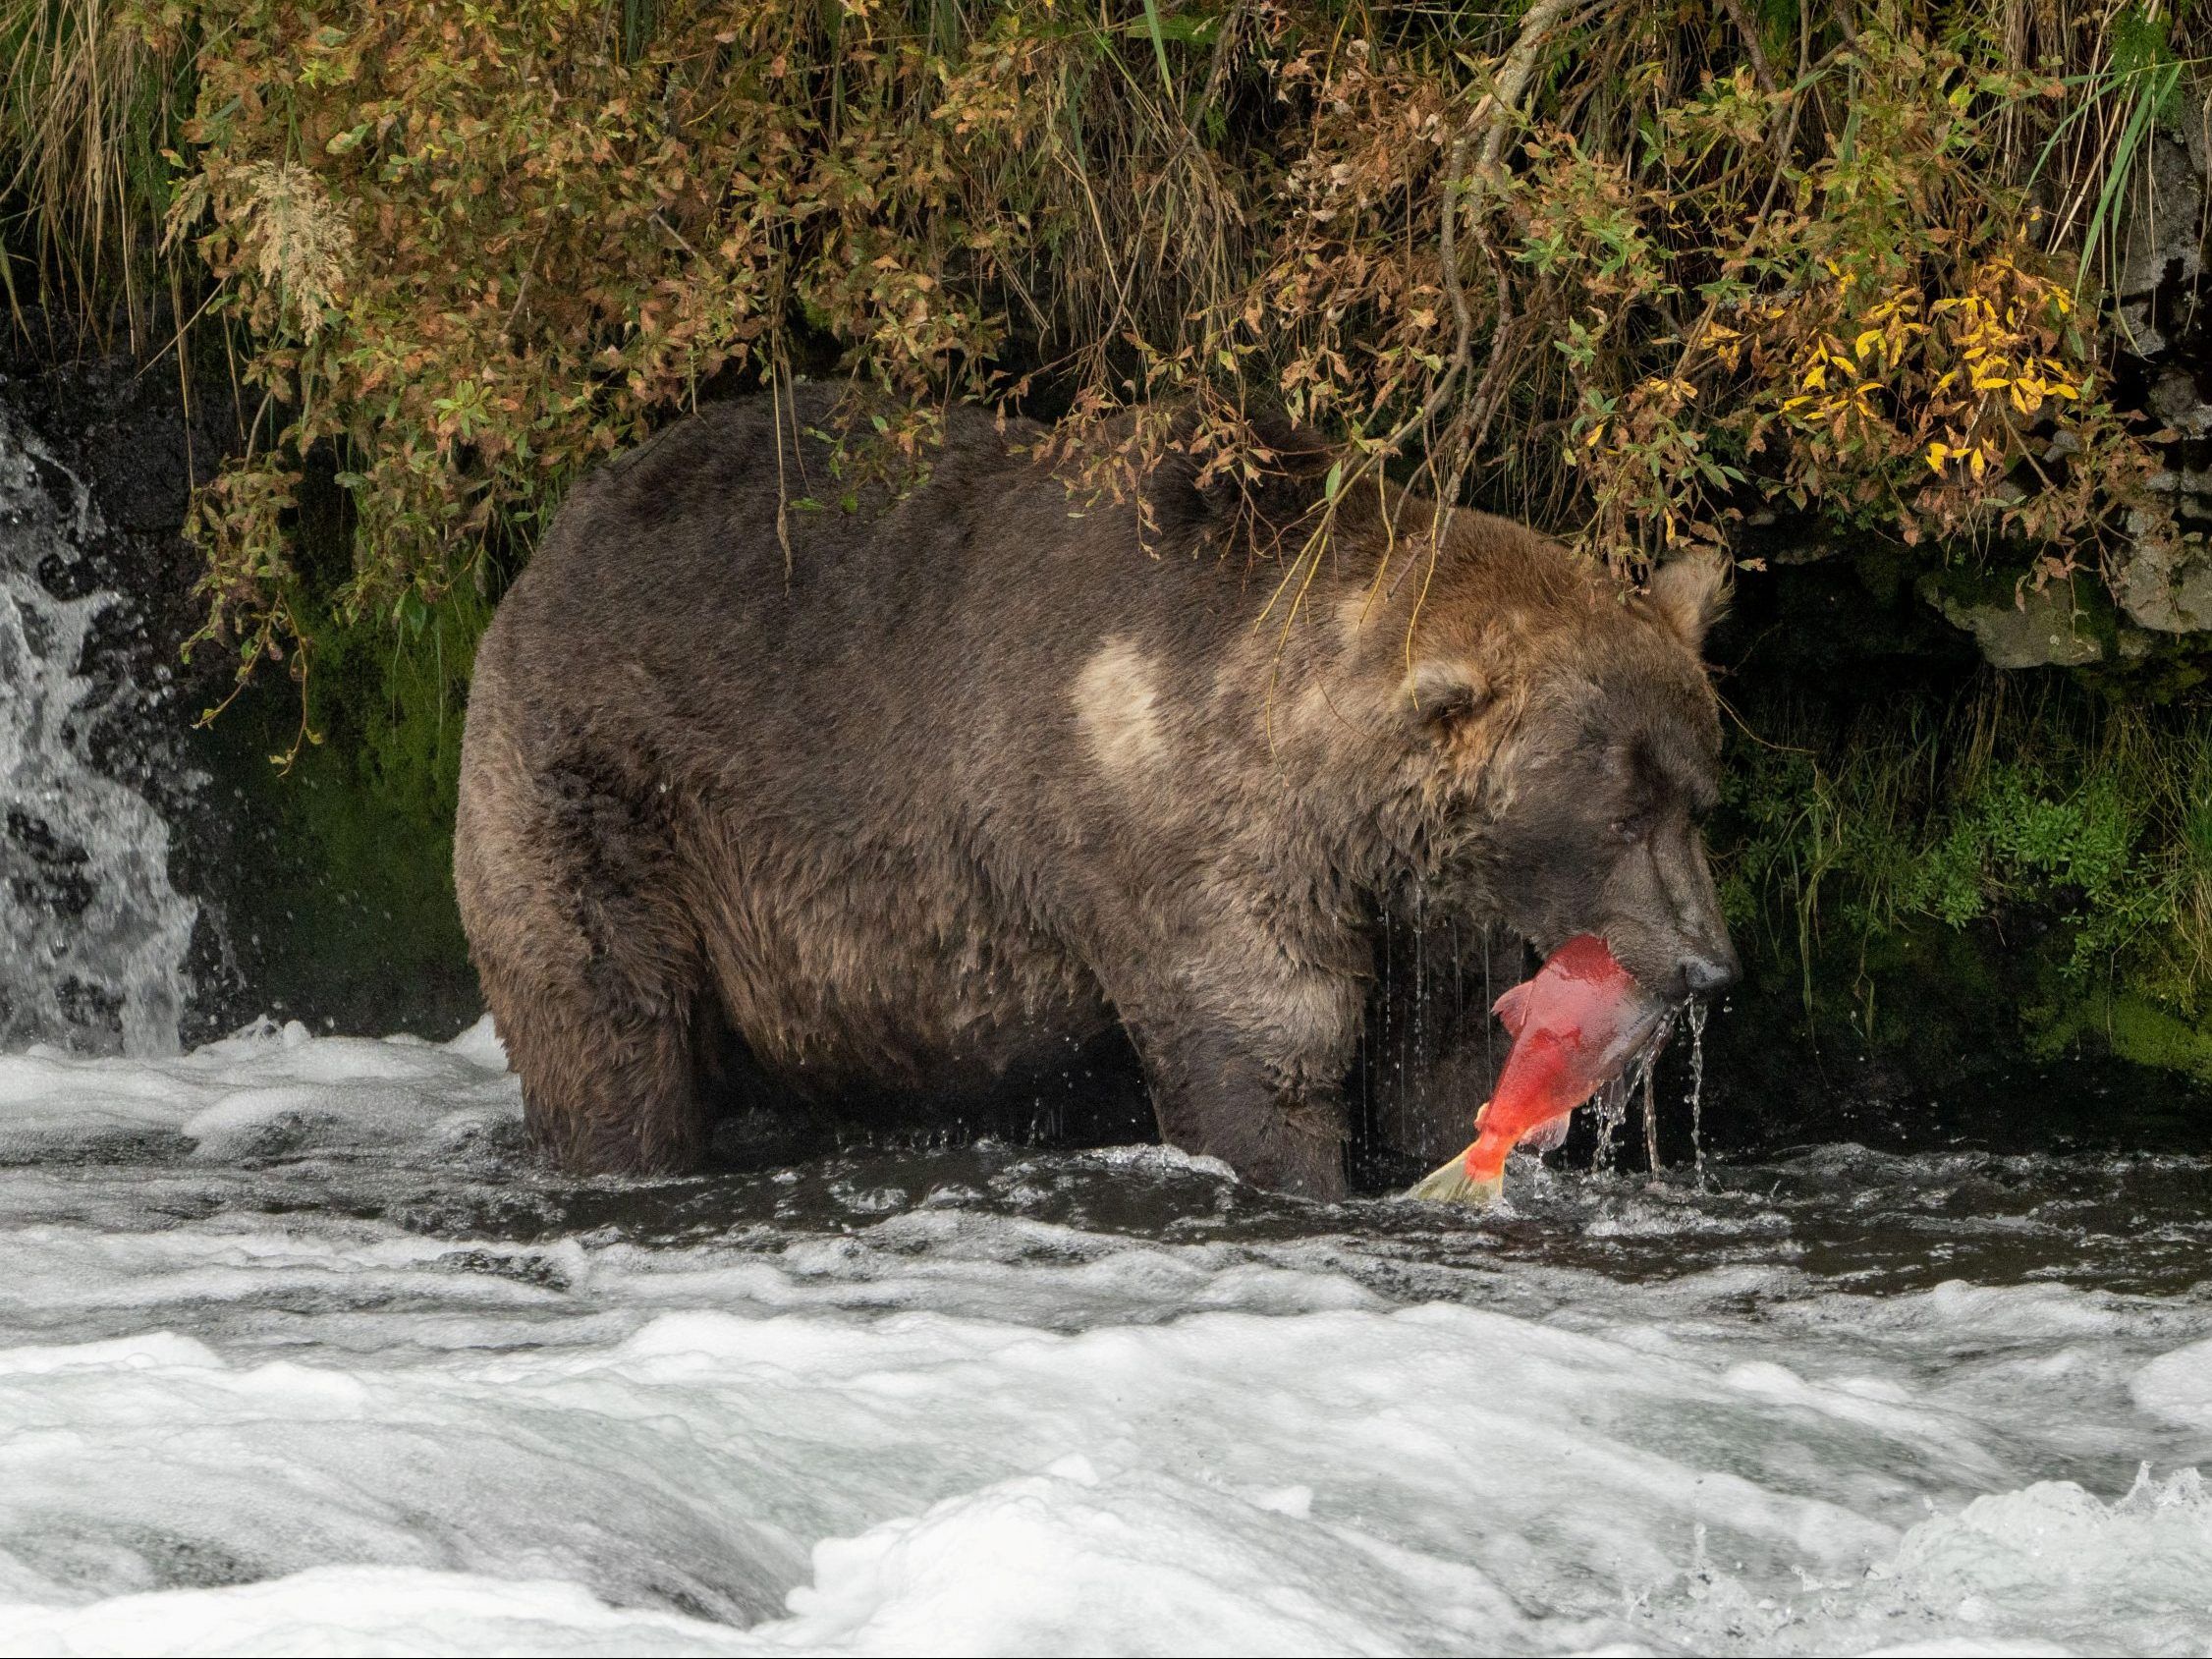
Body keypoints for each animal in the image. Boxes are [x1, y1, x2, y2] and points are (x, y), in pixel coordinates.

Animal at [458, 389, 1734, 1194]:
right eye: (1618, 811)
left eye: (1695, 797)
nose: (1707, 963)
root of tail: (555, 536)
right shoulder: (1183, 836)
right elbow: (1266, 1052)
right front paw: (1300, 1171)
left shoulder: (1419, 901)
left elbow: (1438, 1061)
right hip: (607, 789)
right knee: (607, 1021)